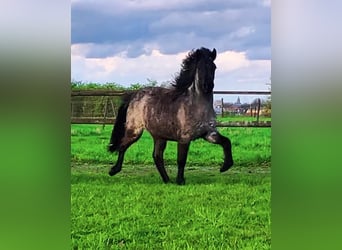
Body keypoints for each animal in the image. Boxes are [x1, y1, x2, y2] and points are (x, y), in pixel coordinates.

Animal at [108, 47, 234, 184]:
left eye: (214, 66)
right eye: (200, 67)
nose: (207, 86)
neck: (197, 107)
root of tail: (134, 95)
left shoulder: (209, 133)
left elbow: (226, 142)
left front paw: (225, 167)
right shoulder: (184, 138)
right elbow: (181, 160)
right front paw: (180, 181)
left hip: (159, 136)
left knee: (157, 156)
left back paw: (167, 180)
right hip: (135, 131)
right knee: (123, 146)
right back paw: (113, 170)